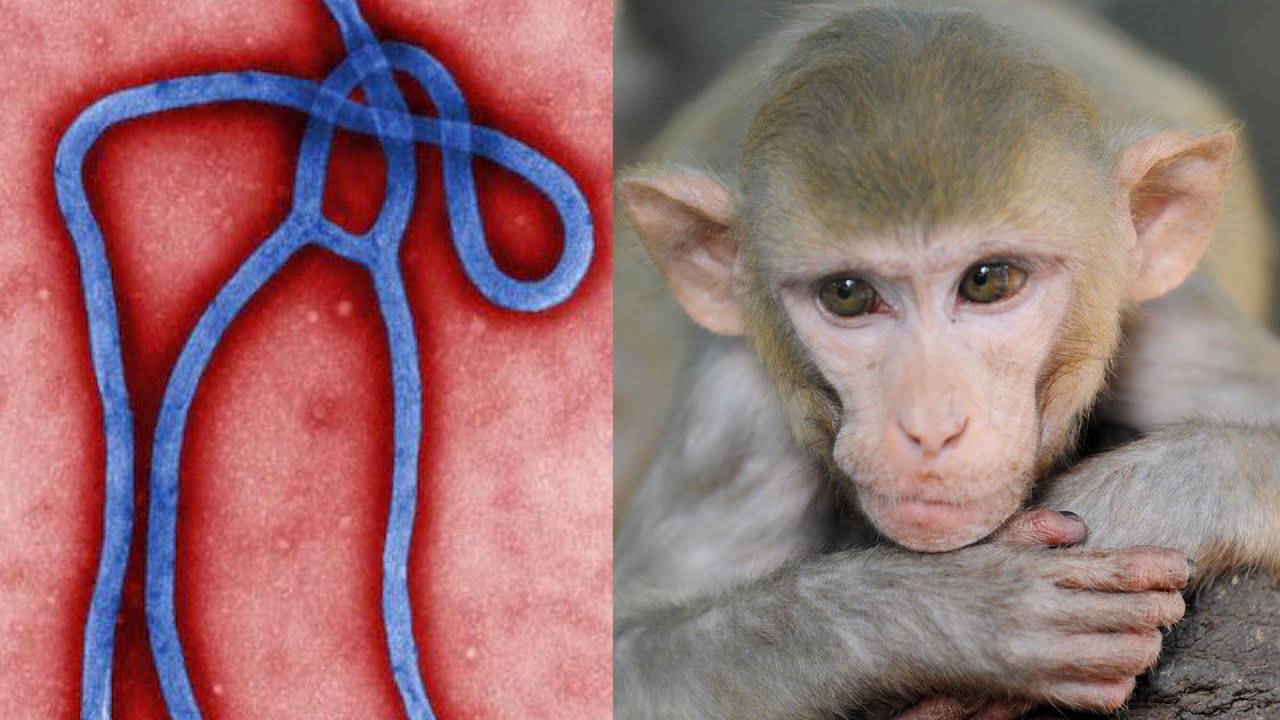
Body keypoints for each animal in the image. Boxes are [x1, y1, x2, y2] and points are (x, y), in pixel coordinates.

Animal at [612, 2, 1280, 719]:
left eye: (989, 281)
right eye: (847, 294)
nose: (930, 427)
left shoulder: (1172, 328)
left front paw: (1122, 506)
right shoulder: (735, 403)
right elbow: (627, 656)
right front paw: (977, 610)